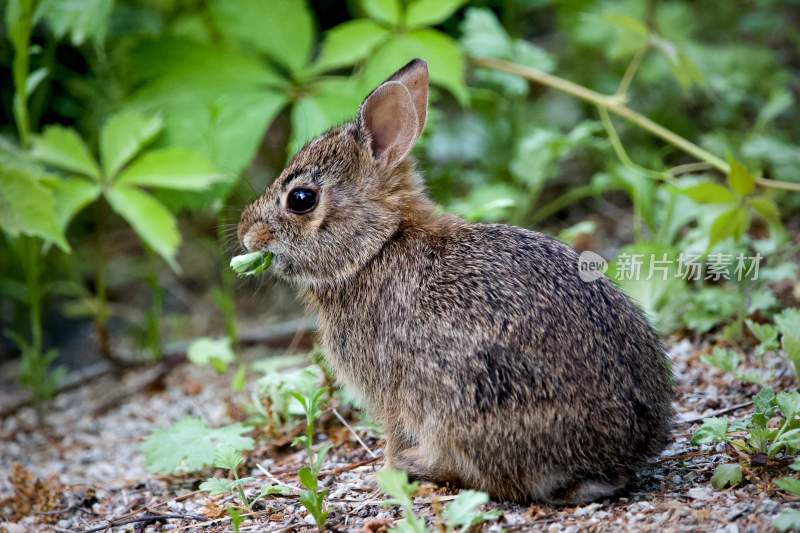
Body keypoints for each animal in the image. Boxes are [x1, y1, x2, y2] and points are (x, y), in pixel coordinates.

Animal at [239, 58, 676, 502]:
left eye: (301, 199)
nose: (246, 234)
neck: (377, 246)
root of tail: (611, 459)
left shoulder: (392, 392)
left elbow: (394, 433)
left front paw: (387, 471)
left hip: (468, 399)